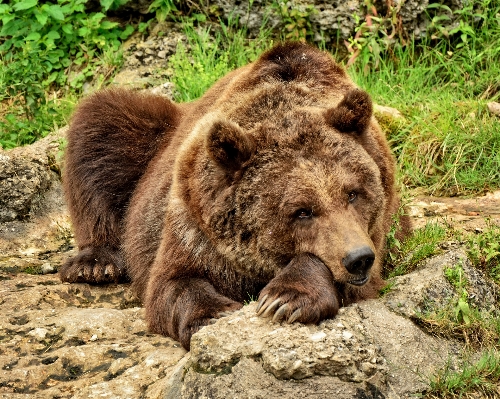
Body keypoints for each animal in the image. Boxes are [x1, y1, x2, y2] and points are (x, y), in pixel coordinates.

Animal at [60, 42, 408, 352]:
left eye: (353, 193)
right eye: (301, 211)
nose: (358, 258)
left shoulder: (378, 235)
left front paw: (284, 299)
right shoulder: (194, 224)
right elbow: (171, 283)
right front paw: (213, 314)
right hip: (151, 140)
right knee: (102, 123)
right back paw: (95, 264)